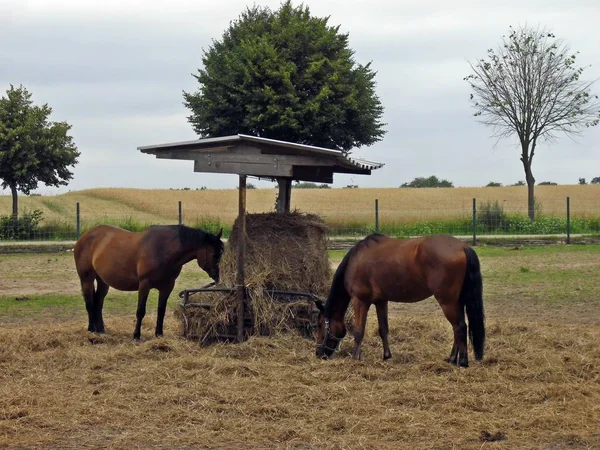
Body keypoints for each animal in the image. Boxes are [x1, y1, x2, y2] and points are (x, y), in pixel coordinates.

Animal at [74, 225, 224, 342]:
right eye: (214, 255)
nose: (219, 278)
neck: (163, 249)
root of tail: (84, 237)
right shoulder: (144, 285)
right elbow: (141, 311)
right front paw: (136, 336)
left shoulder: (167, 287)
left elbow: (161, 311)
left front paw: (159, 334)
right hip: (87, 279)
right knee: (89, 302)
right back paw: (92, 329)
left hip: (103, 281)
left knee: (98, 302)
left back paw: (101, 330)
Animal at [316, 234, 486, 368]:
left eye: (319, 325)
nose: (318, 353)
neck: (356, 260)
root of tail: (463, 247)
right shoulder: (381, 301)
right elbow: (383, 329)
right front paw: (386, 356)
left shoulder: (360, 301)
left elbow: (359, 331)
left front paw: (355, 358)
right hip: (457, 301)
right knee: (457, 328)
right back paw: (451, 359)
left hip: (447, 301)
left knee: (460, 327)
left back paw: (462, 362)